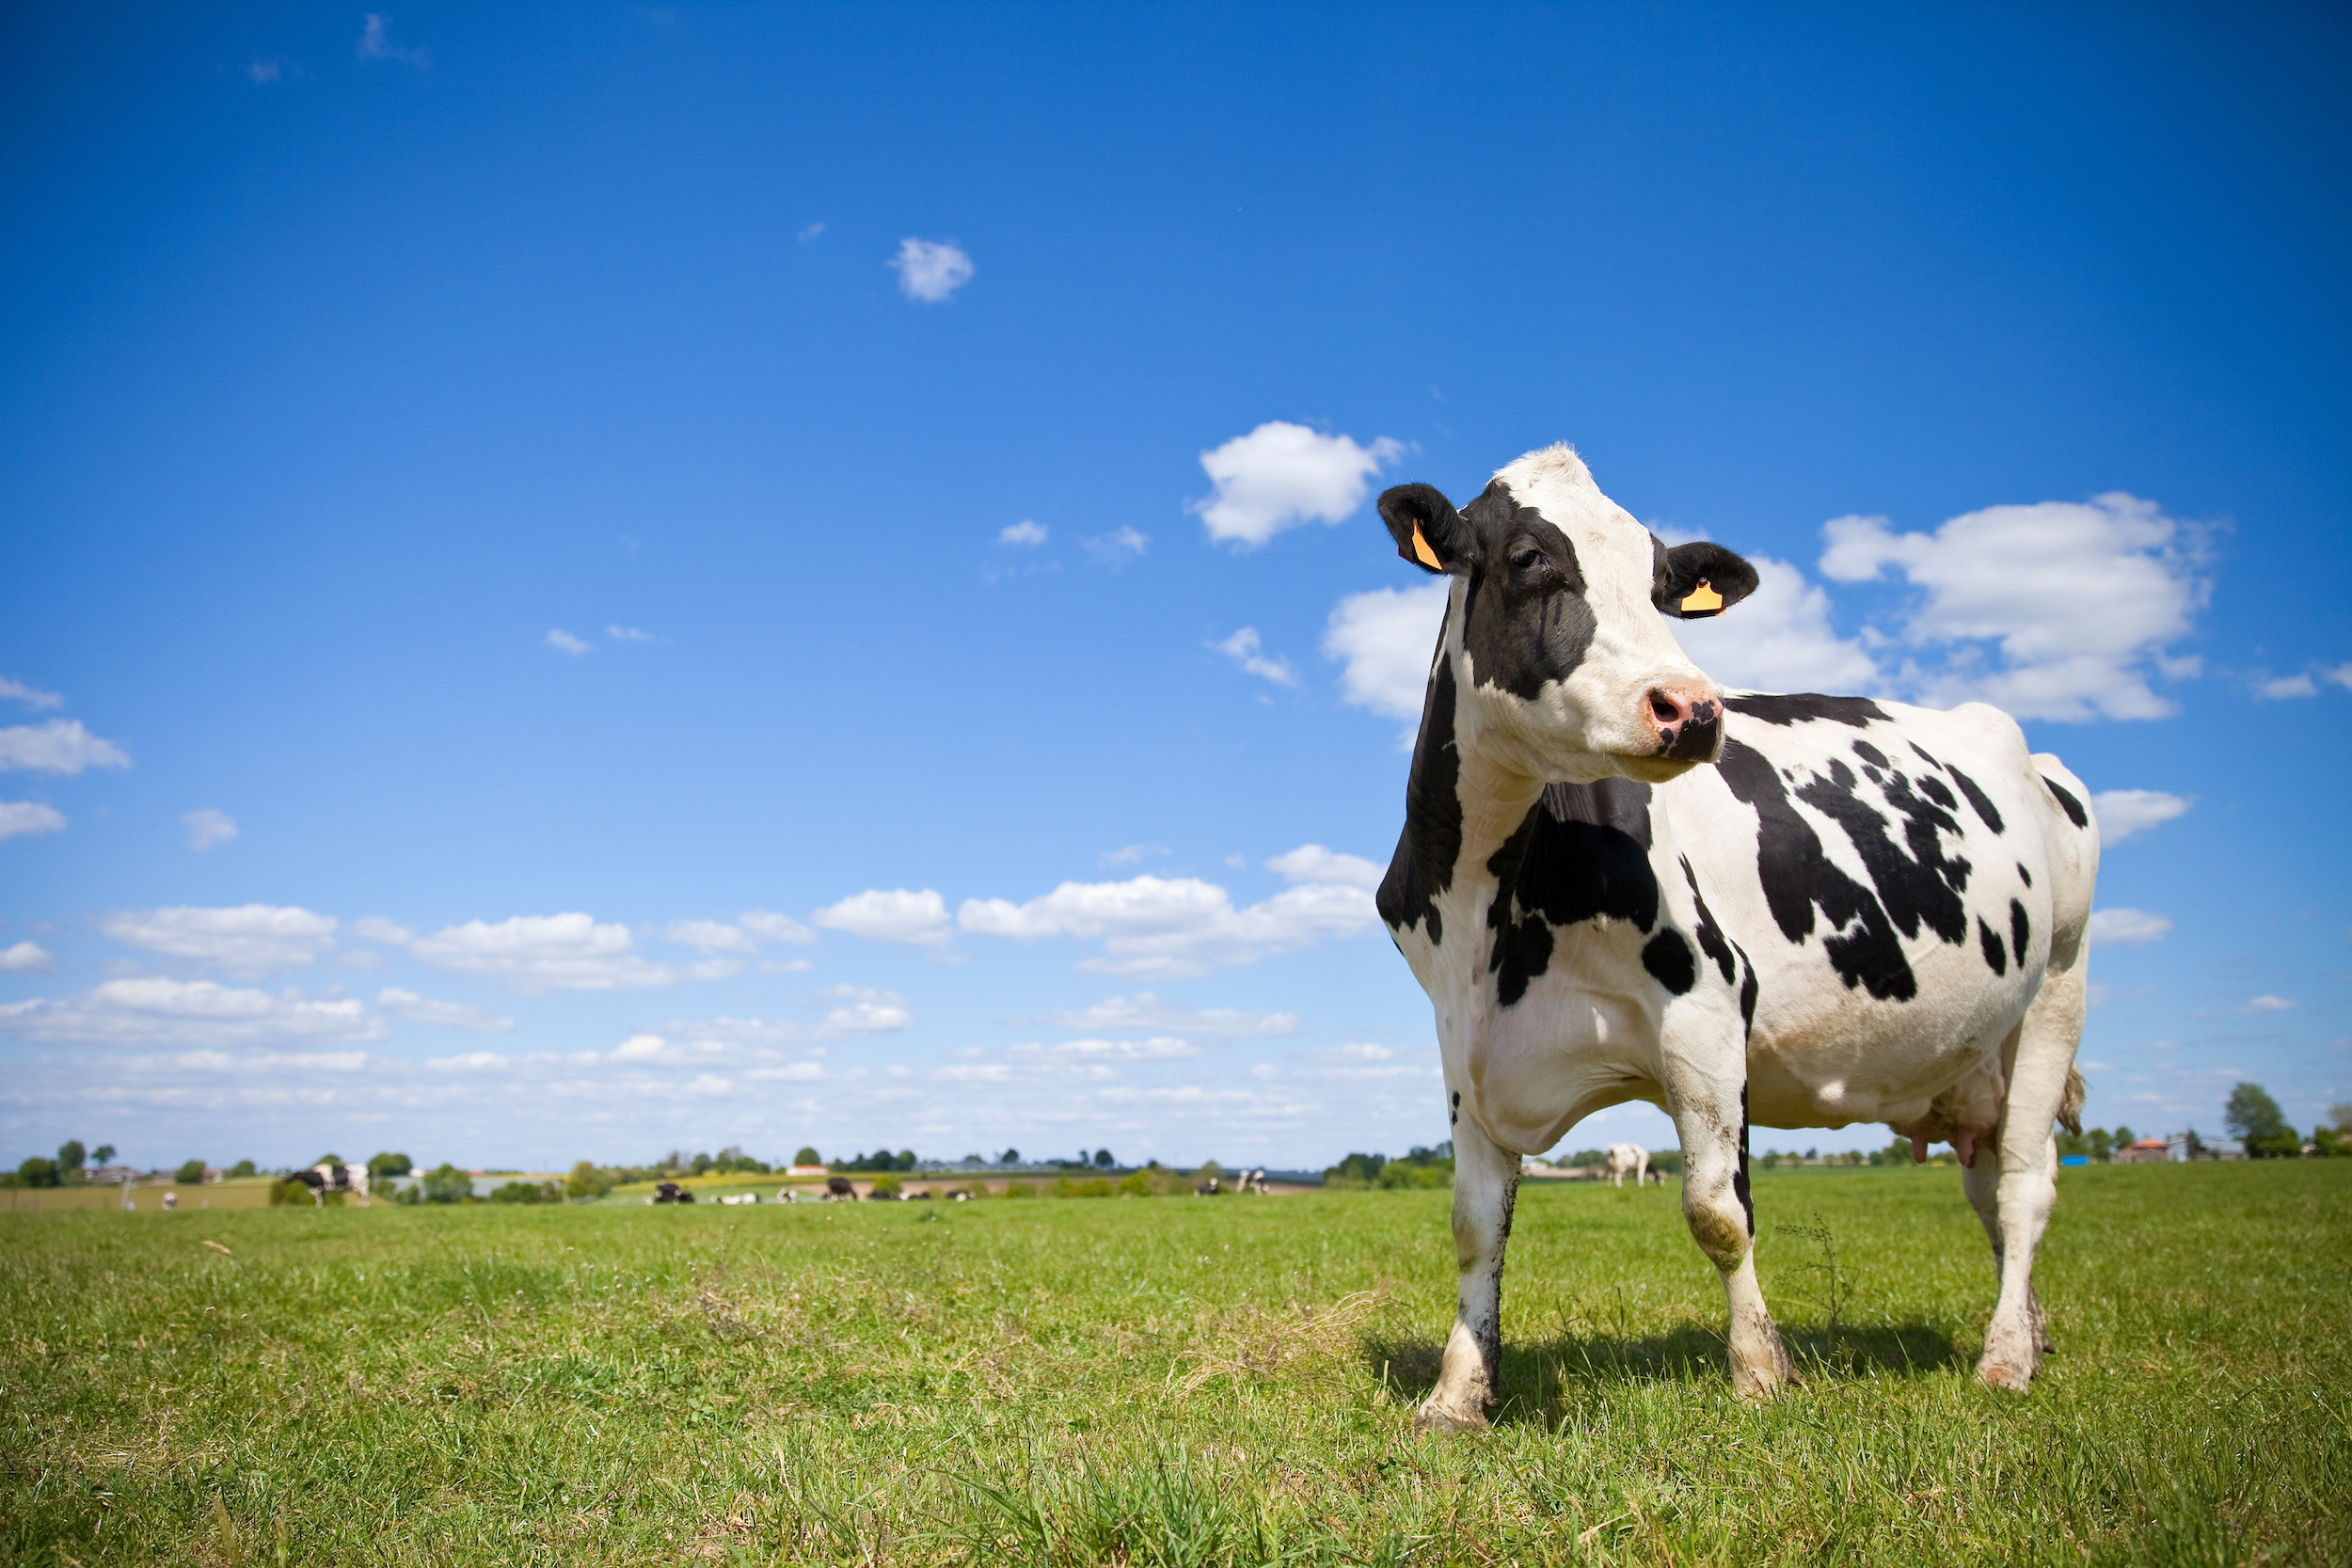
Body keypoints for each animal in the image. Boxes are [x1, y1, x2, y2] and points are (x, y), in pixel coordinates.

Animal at [1374, 446, 2107, 1429]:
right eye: (1530, 557)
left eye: (1660, 584)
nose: (1692, 708)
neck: (1488, 908)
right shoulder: (1464, 1037)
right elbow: (1473, 1225)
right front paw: (1458, 1393)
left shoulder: (1708, 1004)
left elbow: (1718, 1211)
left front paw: (1762, 1370)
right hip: (1973, 1053)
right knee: (1989, 1186)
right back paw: (2032, 1330)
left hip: (2057, 986)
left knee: (2027, 1186)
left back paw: (2005, 1357)